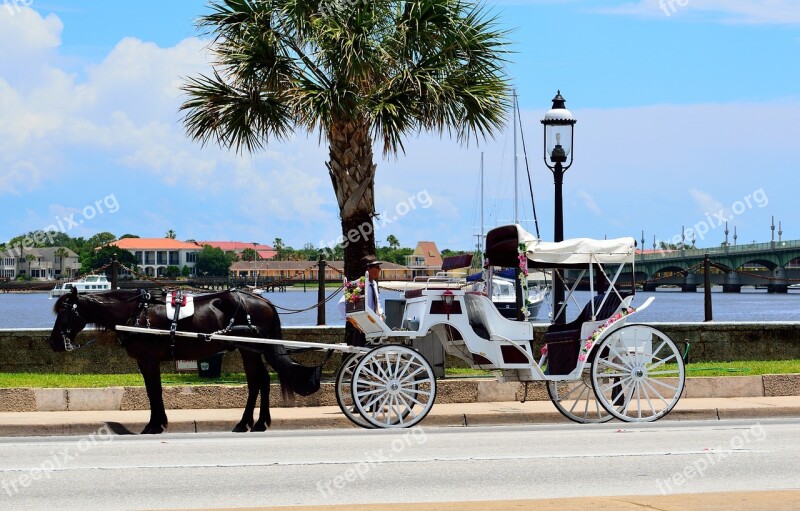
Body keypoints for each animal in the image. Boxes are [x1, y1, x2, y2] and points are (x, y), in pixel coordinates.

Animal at [50, 288, 304, 432]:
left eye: (64, 312)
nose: (53, 343)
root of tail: (262, 300)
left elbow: (154, 390)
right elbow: (152, 390)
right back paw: (257, 422)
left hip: (250, 349)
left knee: (256, 381)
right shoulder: (144, 361)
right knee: (261, 380)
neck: (135, 313)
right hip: (250, 349)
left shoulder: (149, 359)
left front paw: (154, 424)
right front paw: (158, 421)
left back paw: (249, 422)